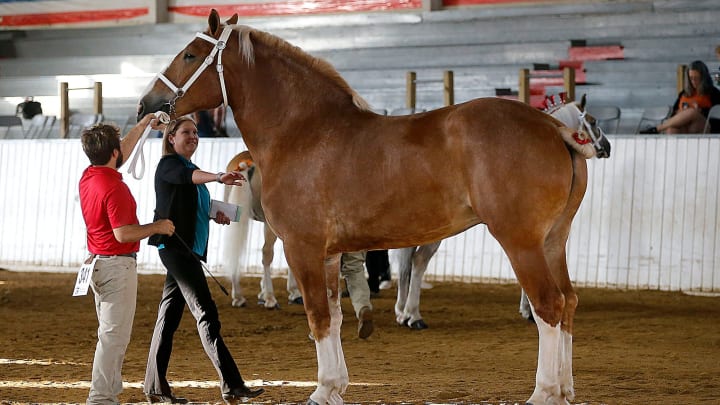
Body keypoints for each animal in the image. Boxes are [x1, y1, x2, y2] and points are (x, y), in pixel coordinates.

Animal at [394, 95, 611, 329]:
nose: (607, 147)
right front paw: (529, 311)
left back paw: (406, 313)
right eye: (593, 121)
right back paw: (411, 314)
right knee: (418, 261)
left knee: (415, 261)